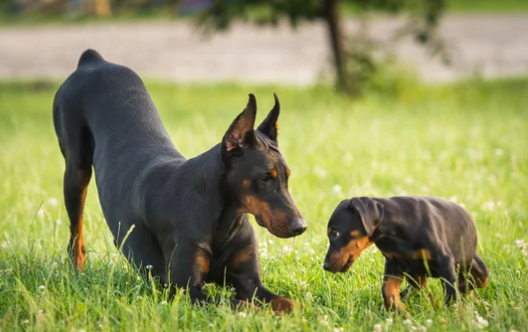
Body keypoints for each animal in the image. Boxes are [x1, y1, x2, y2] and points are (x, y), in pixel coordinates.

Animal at [51, 48, 308, 312]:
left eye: (287, 176)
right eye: (265, 177)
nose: (301, 227)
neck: (223, 218)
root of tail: (93, 61)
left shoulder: (249, 281)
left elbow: (292, 304)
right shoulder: (185, 291)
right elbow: (242, 306)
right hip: (75, 170)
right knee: (75, 231)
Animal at [324, 196, 488, 310]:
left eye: (335, 233)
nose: (325, 266)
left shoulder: (445, 262)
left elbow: (451, 296)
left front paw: (455, 319)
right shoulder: (395, 263)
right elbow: (388, 291)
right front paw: (401, 311)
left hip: (474, 266)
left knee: (472, 283)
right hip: (415, 274)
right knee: (423, 289)